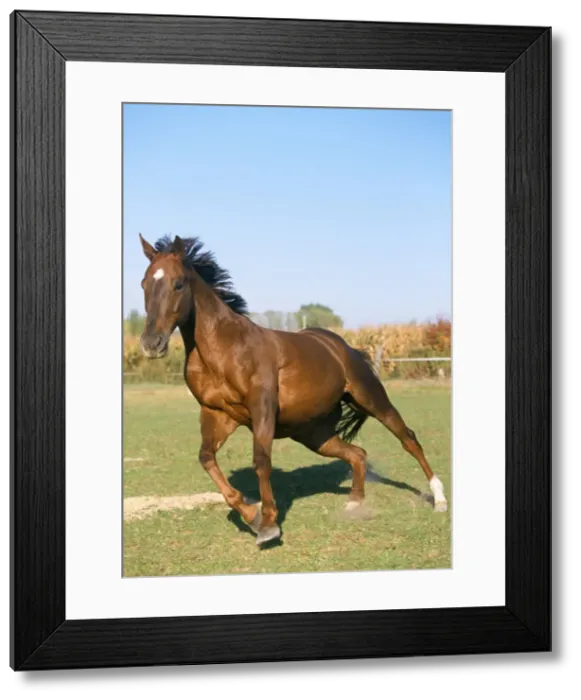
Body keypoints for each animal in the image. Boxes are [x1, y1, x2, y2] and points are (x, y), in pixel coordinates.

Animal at [137, 233, 448, 546]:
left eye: (178, 284)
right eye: (144, 283)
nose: (152, 343)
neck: (224, 350)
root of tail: (342, 346)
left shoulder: (262, 408)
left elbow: (261, 461)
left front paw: (269, 525)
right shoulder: (216, 413)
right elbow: (206, 458)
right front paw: (252, 516)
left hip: (370, 399)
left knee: (408, 439)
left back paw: (439, 498)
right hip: (314, 434)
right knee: (357, 453)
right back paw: (354, 504)